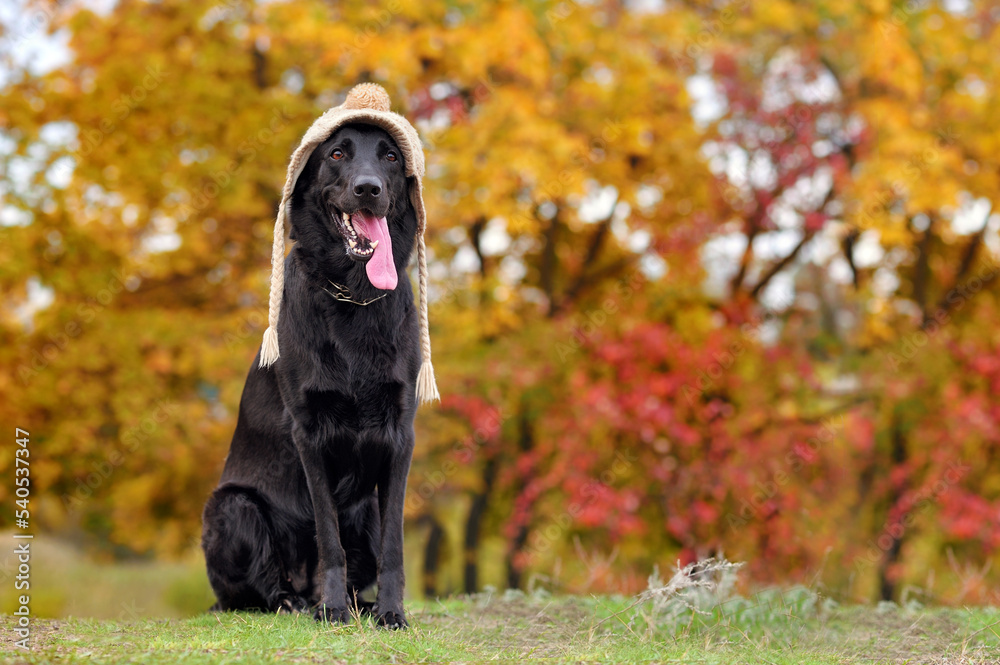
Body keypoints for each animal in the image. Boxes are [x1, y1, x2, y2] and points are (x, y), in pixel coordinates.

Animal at [201, 123, 420, 628]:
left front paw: (391, 611)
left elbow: (393, 544)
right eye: (337, 154)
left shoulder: (401, 433)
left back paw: (359, 603)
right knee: (256, 591)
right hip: (233, 507)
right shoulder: (310, 435)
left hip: (365, 509)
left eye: (391, 157)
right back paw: (299, 601)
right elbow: (328, 533)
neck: (354, 295)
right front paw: (332, 608)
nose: (368, 189)